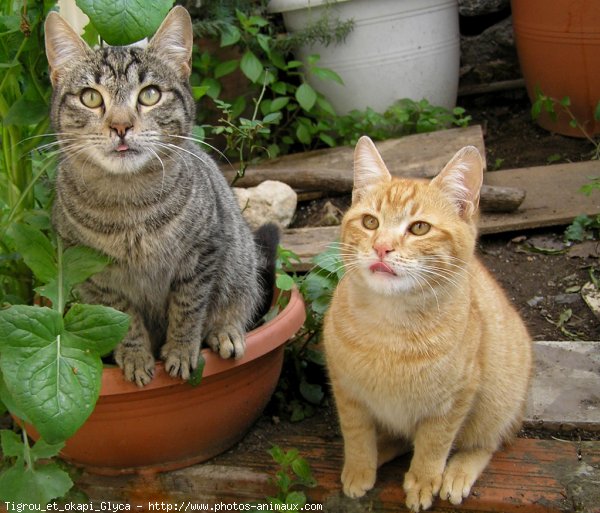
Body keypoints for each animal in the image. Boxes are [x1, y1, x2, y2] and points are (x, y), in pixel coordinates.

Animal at [44, 7, 278, 384]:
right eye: (90, 97)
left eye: (149, 94)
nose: (120, 126)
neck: (130, 205)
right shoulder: (94, 274)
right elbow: (124, 318)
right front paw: (136, 356)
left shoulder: (202, 254)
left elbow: (188, 308)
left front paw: (182, 351)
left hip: (241, 264)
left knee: (238, 303)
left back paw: (226, 332)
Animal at [322, 134, 532, 510]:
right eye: (370, 222)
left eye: (419, 228)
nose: (382, 248)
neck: (389, 330)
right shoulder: (348, 393)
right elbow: (357, 436)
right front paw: (360, 467)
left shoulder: (453, 400)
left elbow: (434, 443)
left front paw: (423, 480)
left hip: (496, 402)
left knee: (485, 444)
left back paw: (456, 473)